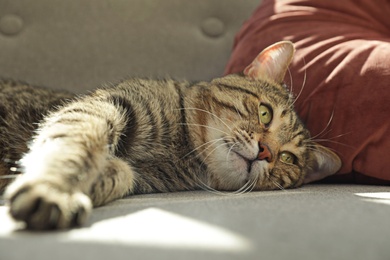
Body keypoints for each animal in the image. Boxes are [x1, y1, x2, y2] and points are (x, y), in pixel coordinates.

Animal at [0, 41, 342, 231]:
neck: (180, 150)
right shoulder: (103, 106)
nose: (265, 152)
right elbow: (75, 147)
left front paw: (98, 181)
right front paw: (53, 189)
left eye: (288, 158)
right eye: (265, 113)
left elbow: (121, 173)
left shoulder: (139, 175)